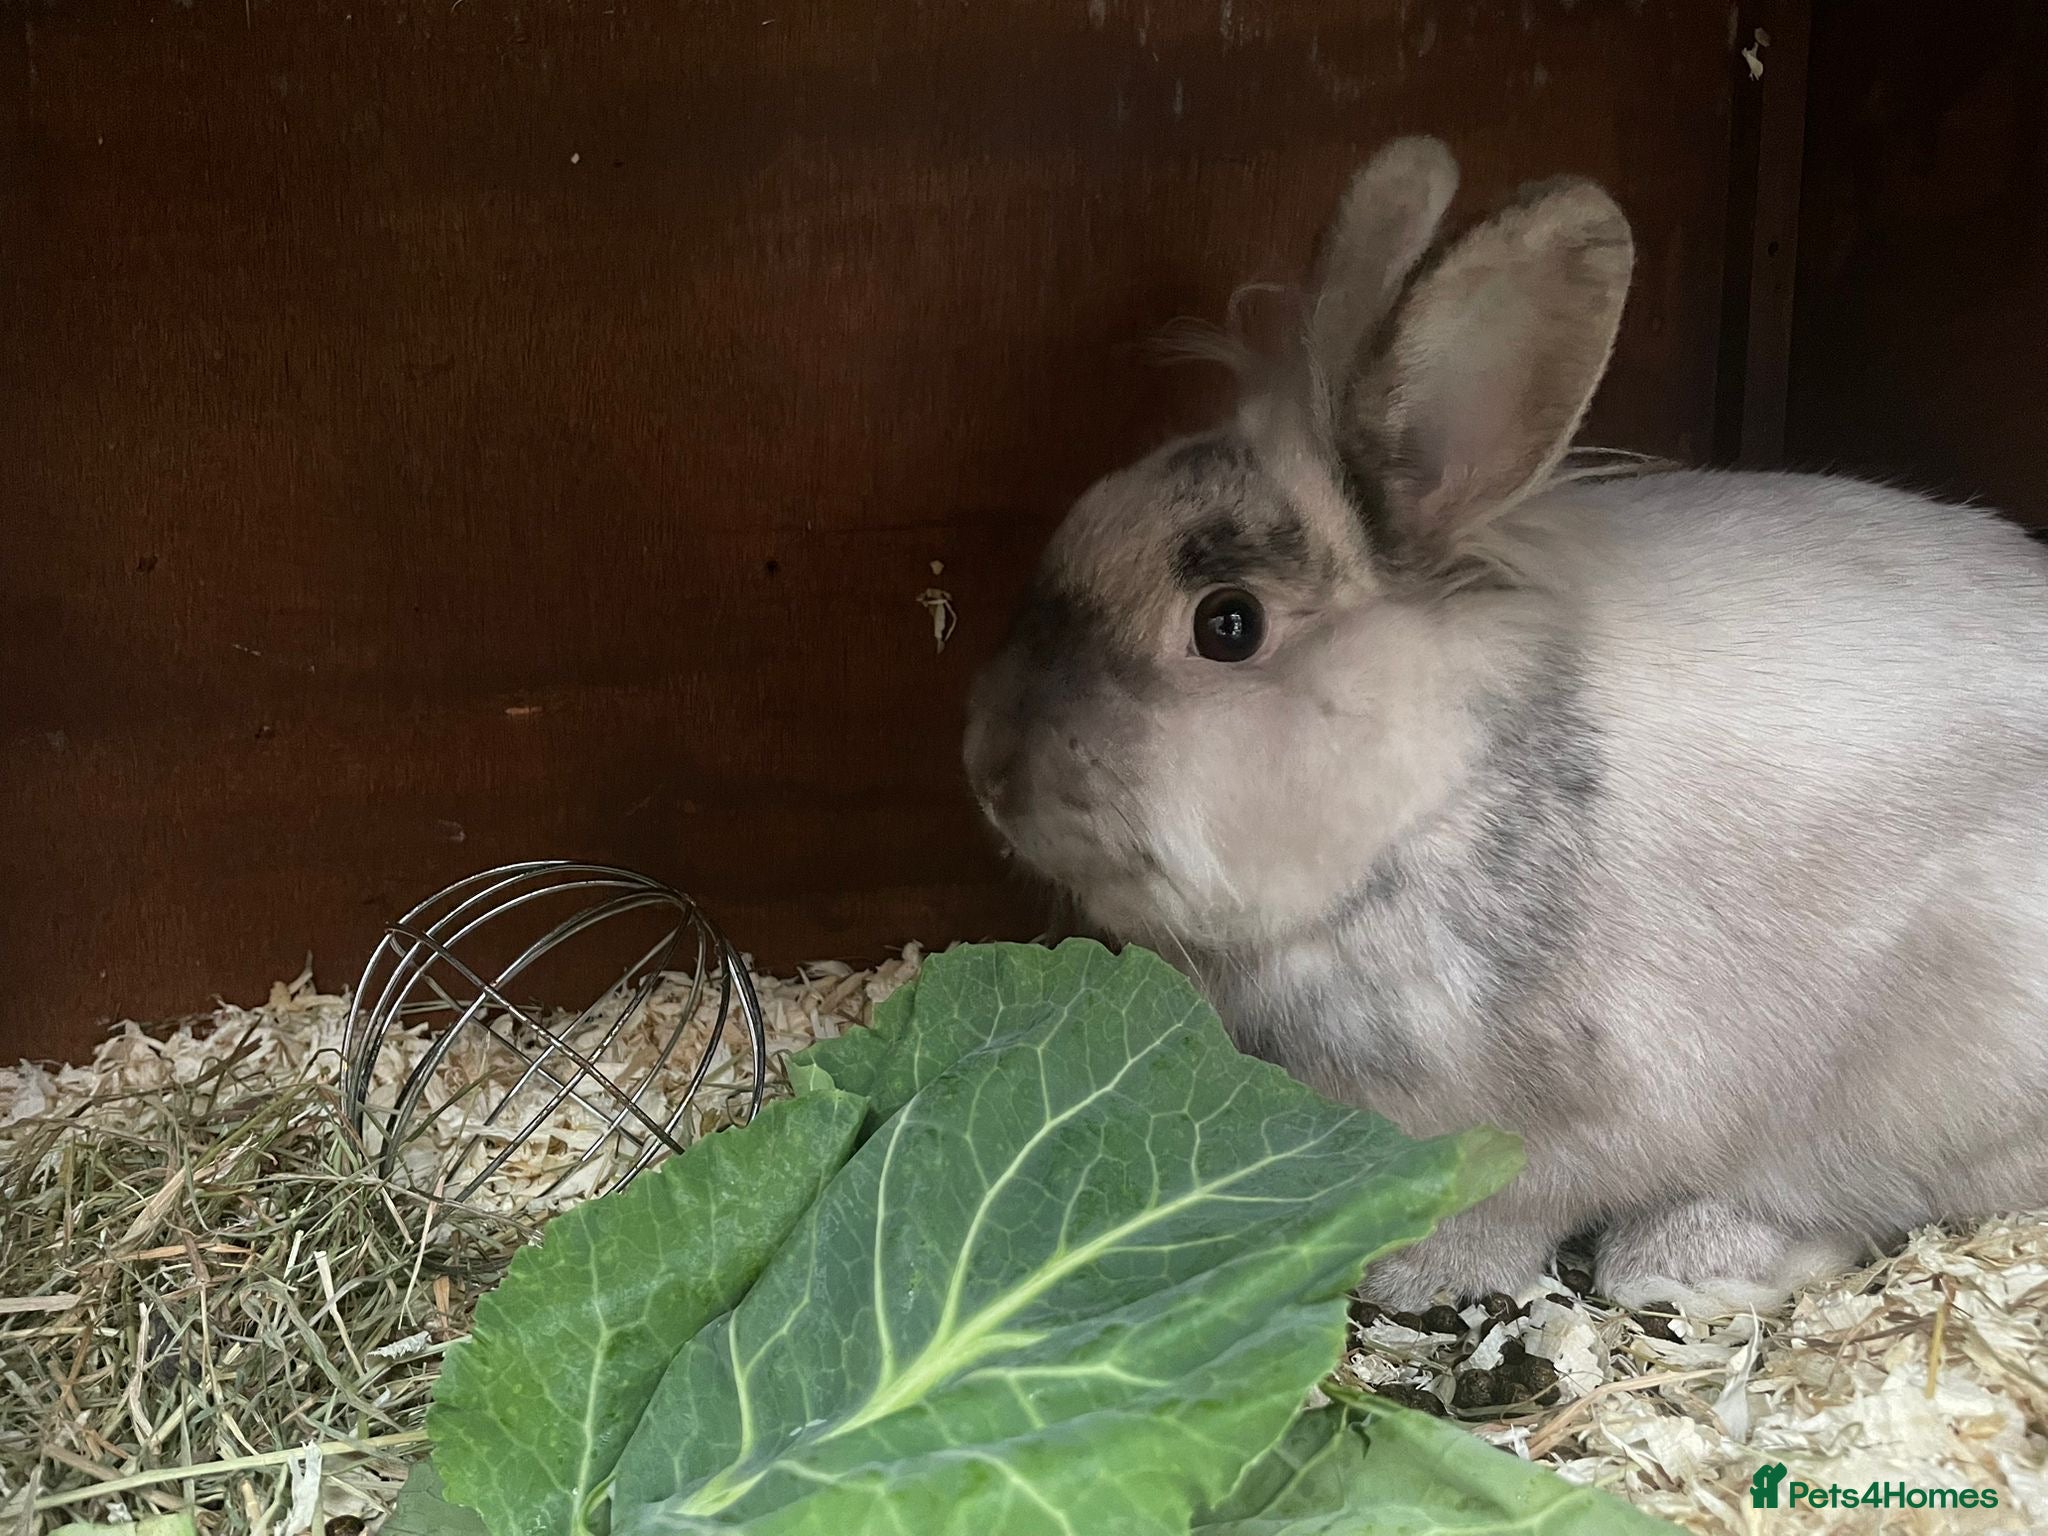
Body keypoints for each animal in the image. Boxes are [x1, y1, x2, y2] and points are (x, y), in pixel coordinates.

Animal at [961, 134, 2048, 1315]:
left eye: (1228, 624)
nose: (988, 769)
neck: (1438, 797)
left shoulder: (1561, 1118)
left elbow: (1505, 1208)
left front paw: (1412, 1278)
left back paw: (1683, 1266)